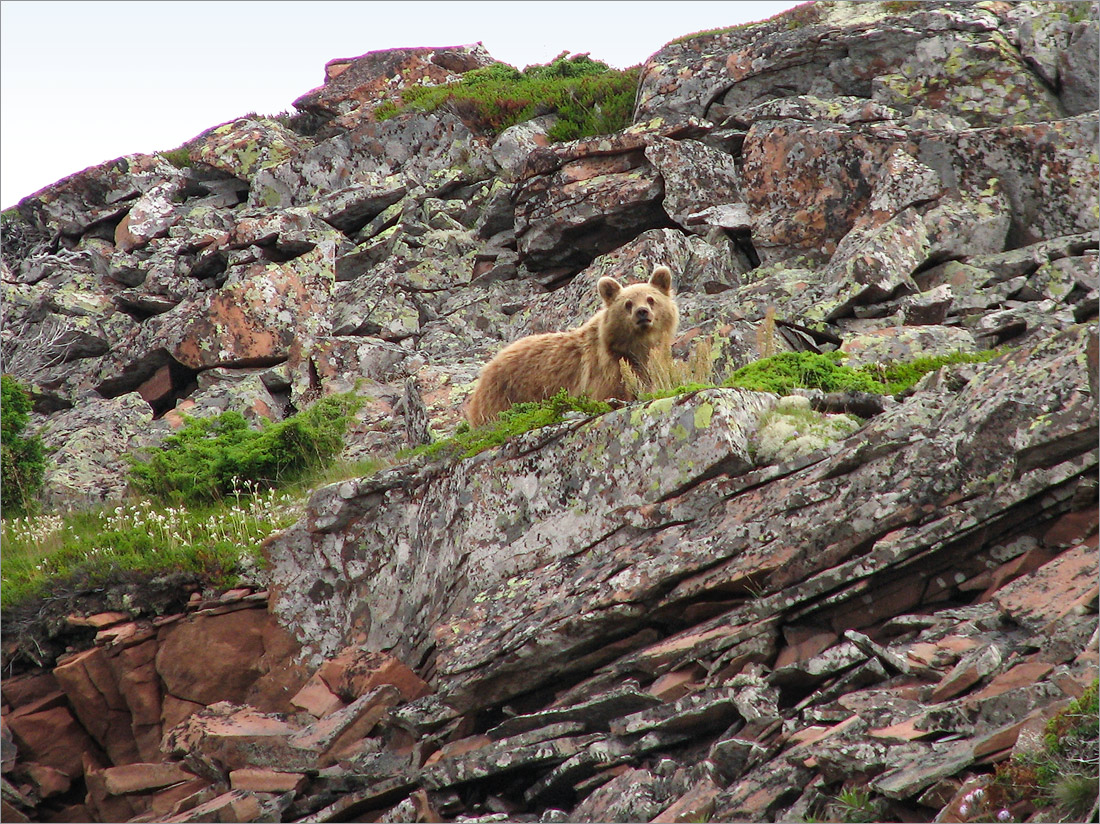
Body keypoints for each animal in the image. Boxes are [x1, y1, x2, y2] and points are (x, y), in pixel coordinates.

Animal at [464, 265, 677, 424]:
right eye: (628, 304)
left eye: (651, 299)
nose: (642, 312)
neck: (635, 347)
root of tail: (486, 369)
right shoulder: (604, 370)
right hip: (503, 396)